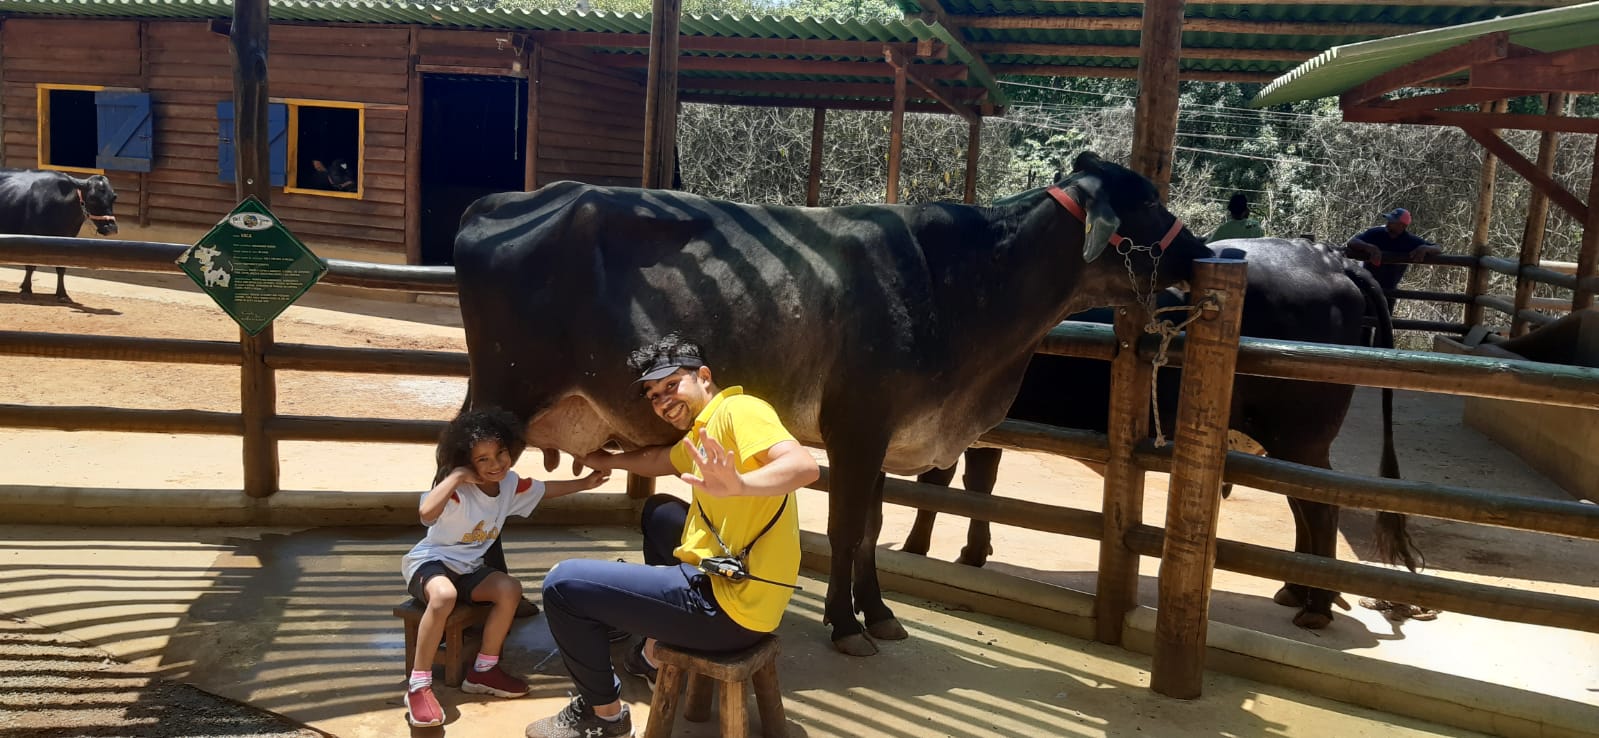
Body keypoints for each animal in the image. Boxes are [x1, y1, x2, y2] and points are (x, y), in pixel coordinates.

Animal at [0, 169, 118, 302]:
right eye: (92, 198)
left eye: (114, 197)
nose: (111, 228)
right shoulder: (31, 236)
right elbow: (30, 266)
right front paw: (26, 290)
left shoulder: (67, 240)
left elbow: (61, 268)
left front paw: (62, 293)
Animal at [451, 151, 1212, 656]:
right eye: (1147, 202)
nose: (1202, 253)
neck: (963, 285)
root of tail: (496, 203)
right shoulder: (857, 426)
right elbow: (847, 530)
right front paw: (846, 626)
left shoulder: (882, 437)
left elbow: (872, 529)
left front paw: (877, 614)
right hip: (505, 389)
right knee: (460, 471)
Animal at [902, 237, 1423, 629]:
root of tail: (1331, 258)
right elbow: (978, 486)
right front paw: (971, 553)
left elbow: (936, 485)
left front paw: (915, 551)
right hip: (1287, 443)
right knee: (1304, 506)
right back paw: (1298, 589)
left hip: (1300, 436)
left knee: (1321, 507)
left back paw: (1316, 607)